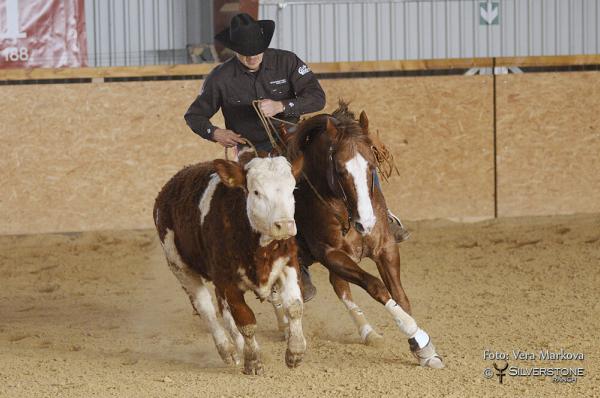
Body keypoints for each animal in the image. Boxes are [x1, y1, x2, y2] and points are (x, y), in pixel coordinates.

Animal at [154, 155, 304, 376]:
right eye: (256, 192)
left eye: (292, 189)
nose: (284, 225)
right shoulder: (227, 281)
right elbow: (246, 321)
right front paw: (253, 362)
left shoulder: (288, 264)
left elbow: (294, 307)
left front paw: (295, 352)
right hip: (179, 266)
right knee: (206, 308)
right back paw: (228, 351)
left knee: (223, 308)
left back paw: (239, 348)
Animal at [278, 102, 442, 366]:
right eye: (339, 169)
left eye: (372, 165)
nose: (365, 223)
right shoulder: (331, 254)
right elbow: (376, 286)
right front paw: (414, 332)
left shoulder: (385, 247)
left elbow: (400, 295)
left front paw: (421, 347)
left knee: (339, 286)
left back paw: (368, 332)